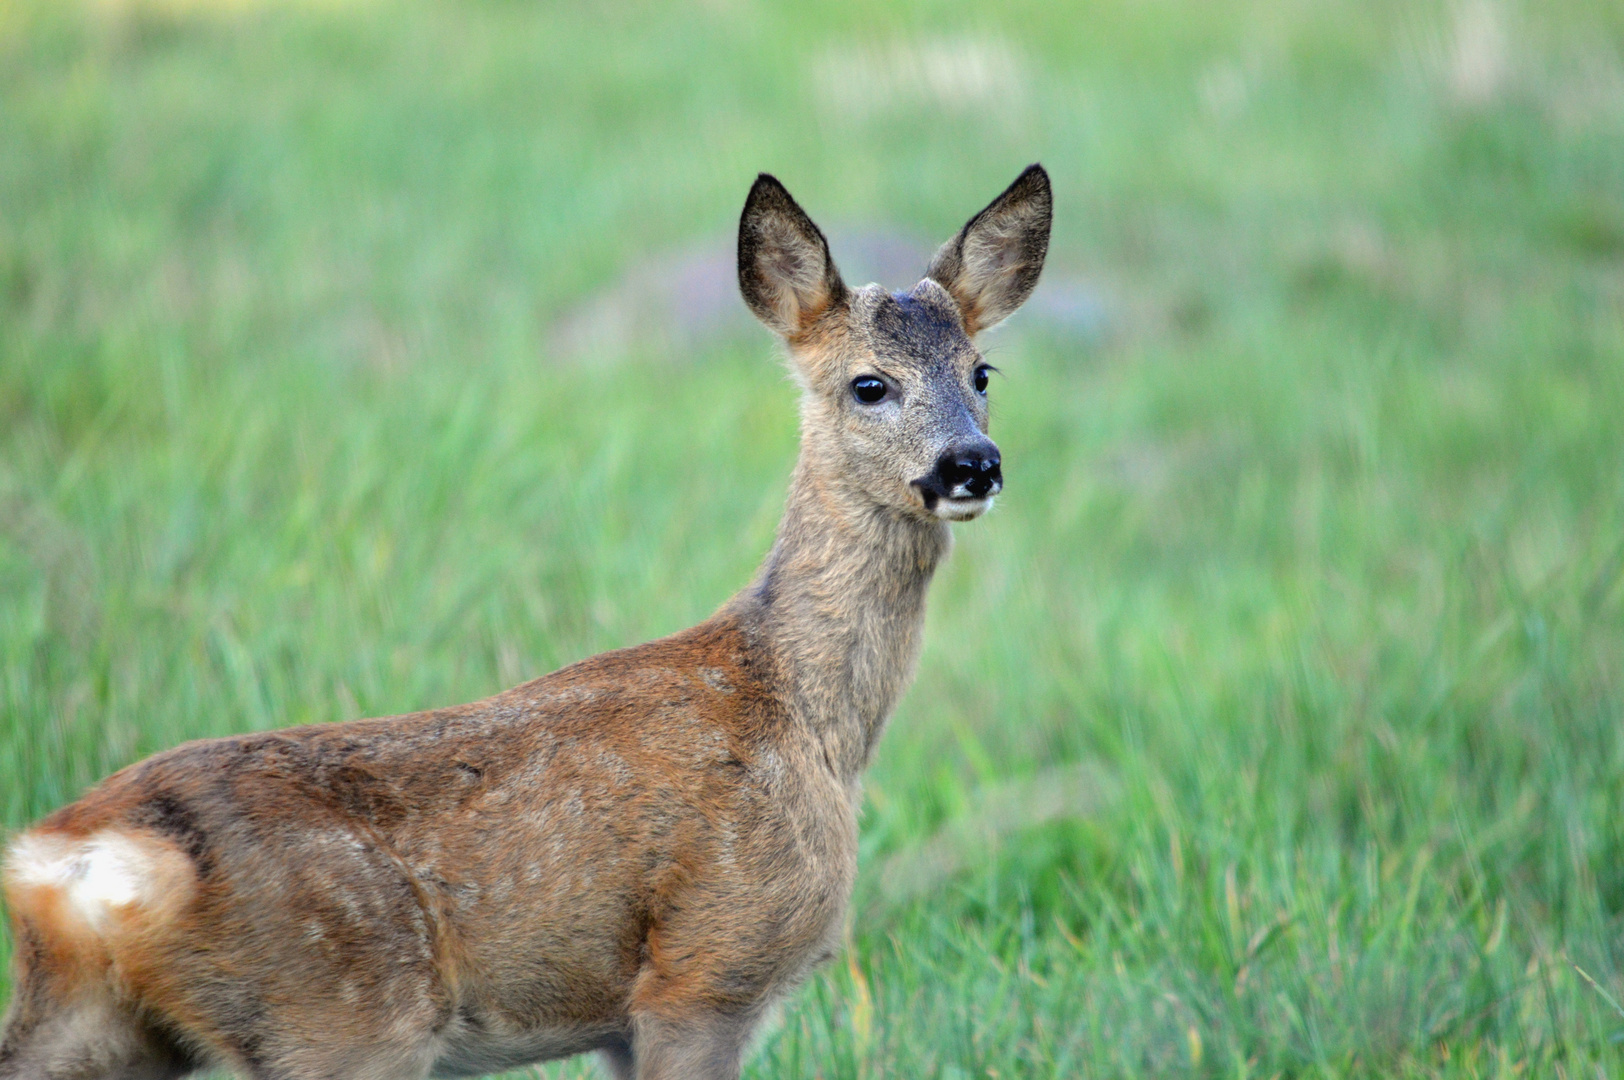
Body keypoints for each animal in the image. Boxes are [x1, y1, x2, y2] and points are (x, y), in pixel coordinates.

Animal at [0, 162, 1052, 1078]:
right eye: (869, 384)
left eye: (983, 370)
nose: (972, 464)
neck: (807, 716)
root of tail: (73, 861)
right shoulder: (707, 966)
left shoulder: (630, 1015)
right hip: (342, 1009)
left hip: (105, 1023)